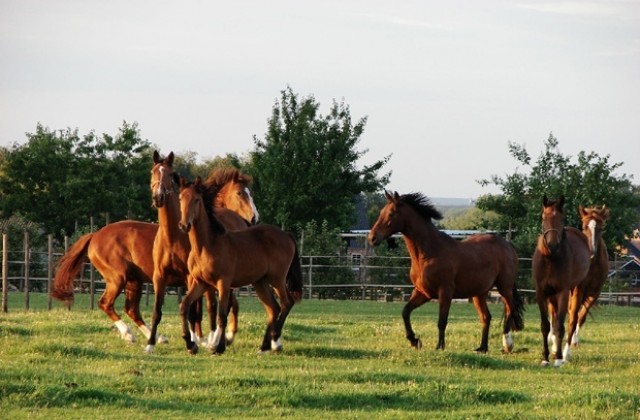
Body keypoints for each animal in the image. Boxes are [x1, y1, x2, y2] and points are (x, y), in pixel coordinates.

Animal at [145, 150, 258, 352]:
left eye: (170, 174)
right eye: (153, 172)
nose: (159, 197)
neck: (172, 236)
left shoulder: (192, 277)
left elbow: (196, 311)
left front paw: (195, 342)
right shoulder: (159, 276)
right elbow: (157, 311)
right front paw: (150, 344)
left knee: (221, 305)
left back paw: (217, 338)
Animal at [176, 176, 304, 354]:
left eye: (196, 200)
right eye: (180, 198)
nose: (184, 225)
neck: (207, 245)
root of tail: (286, 234)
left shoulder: (223, 283)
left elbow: (222, 314)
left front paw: (218, 347)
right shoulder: (200, 283)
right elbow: (184, 306)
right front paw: (190, 344)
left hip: (277, 279)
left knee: (286, 303)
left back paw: (275, 340)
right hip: (260, 282)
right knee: (273, 309)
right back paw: (264, 347)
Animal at [368, 192, 524, 352]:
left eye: (391, 214)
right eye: (381, 212)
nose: (372, 238)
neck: (429, 253)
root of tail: (508, 245)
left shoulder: (445, 291)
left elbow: (442, 321)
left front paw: (439, 346)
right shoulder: (422, 293)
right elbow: (405, 312)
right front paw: (414, 341)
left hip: (504, 288)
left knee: (510, 310)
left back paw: (507, 344)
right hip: (479, 293)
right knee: (486, 317)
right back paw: (482, 348)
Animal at [528, 195, 592, 366]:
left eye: (561, 218)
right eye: (544, 217)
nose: (552, 245)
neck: (550, 259)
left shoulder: (563, 292)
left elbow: (560, 326)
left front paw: (557, 358)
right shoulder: (541, 292)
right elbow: (545, 326)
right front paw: (545, 357)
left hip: (576, 289)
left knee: (571, 321)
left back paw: (564, 354)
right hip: (552, 296)